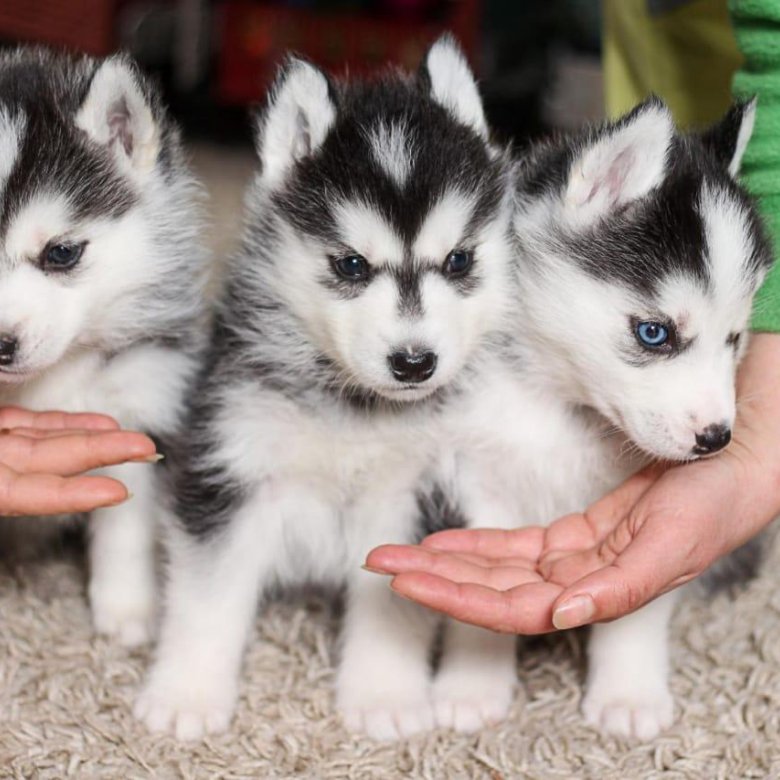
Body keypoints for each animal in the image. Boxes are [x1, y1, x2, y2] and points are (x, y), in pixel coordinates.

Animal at [132, 36, 516, 740]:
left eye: (458, 261)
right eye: (351, 265)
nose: (414, 362)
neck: (352, 409)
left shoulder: (411, 497)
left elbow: (395, 608)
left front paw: (385, 695)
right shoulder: (231, 472)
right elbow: (206, 600)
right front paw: (187, 696)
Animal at [426, 96, 772, 736]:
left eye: (735, 339)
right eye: (654, 333)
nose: (716, 439)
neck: (564, 403)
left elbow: (638, 603)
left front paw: (628, 694)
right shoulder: (478, 478)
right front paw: (471, 683)